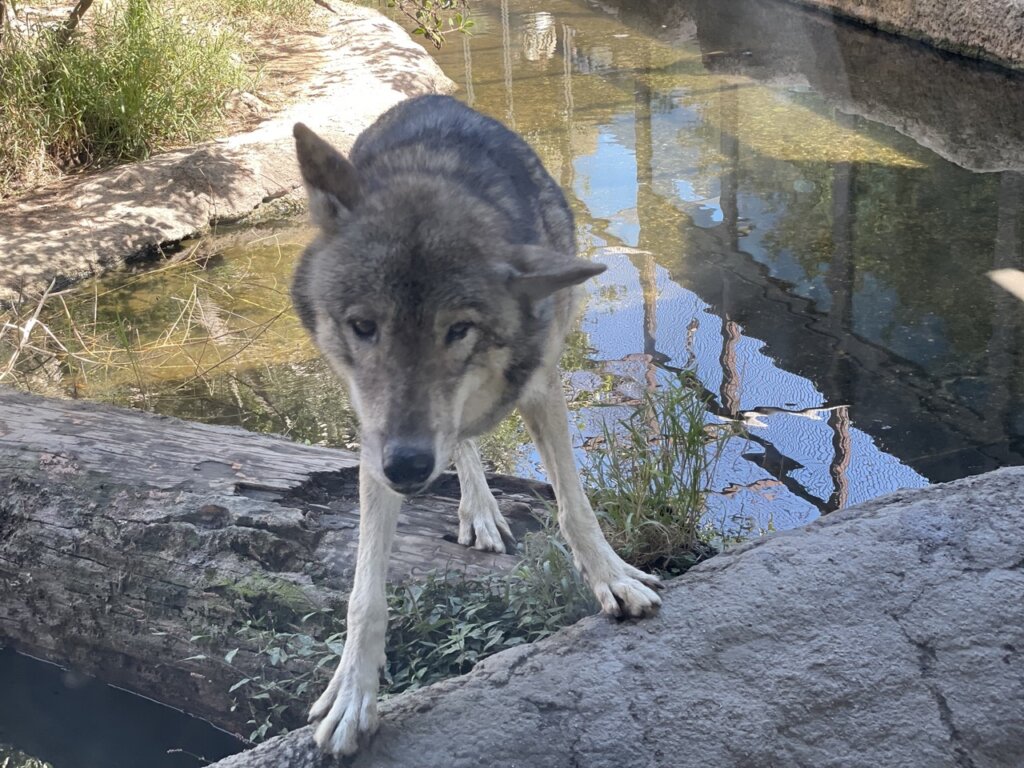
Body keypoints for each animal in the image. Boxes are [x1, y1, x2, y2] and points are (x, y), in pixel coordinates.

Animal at [292, 94, 659, 757]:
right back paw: (478, 508)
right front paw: (354, 690)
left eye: (458, 329)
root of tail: (427, 96)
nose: (407, 466)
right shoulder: (375, 434)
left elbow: (575, 508)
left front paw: (613, 580)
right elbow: (365, 590)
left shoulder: (540, 386)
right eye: (364, 326)